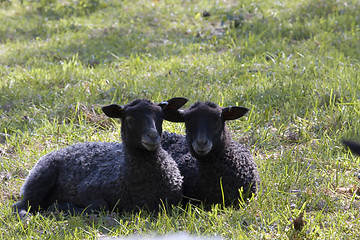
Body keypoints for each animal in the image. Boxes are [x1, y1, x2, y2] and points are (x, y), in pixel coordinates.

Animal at [12, 97, 187, 218]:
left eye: (160, 117)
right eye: (129, 119)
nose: (153, 136)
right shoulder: (88, 188)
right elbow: (100, 206)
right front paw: (61, 207)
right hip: (40, 178)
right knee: (21, 205)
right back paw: (29, 216)